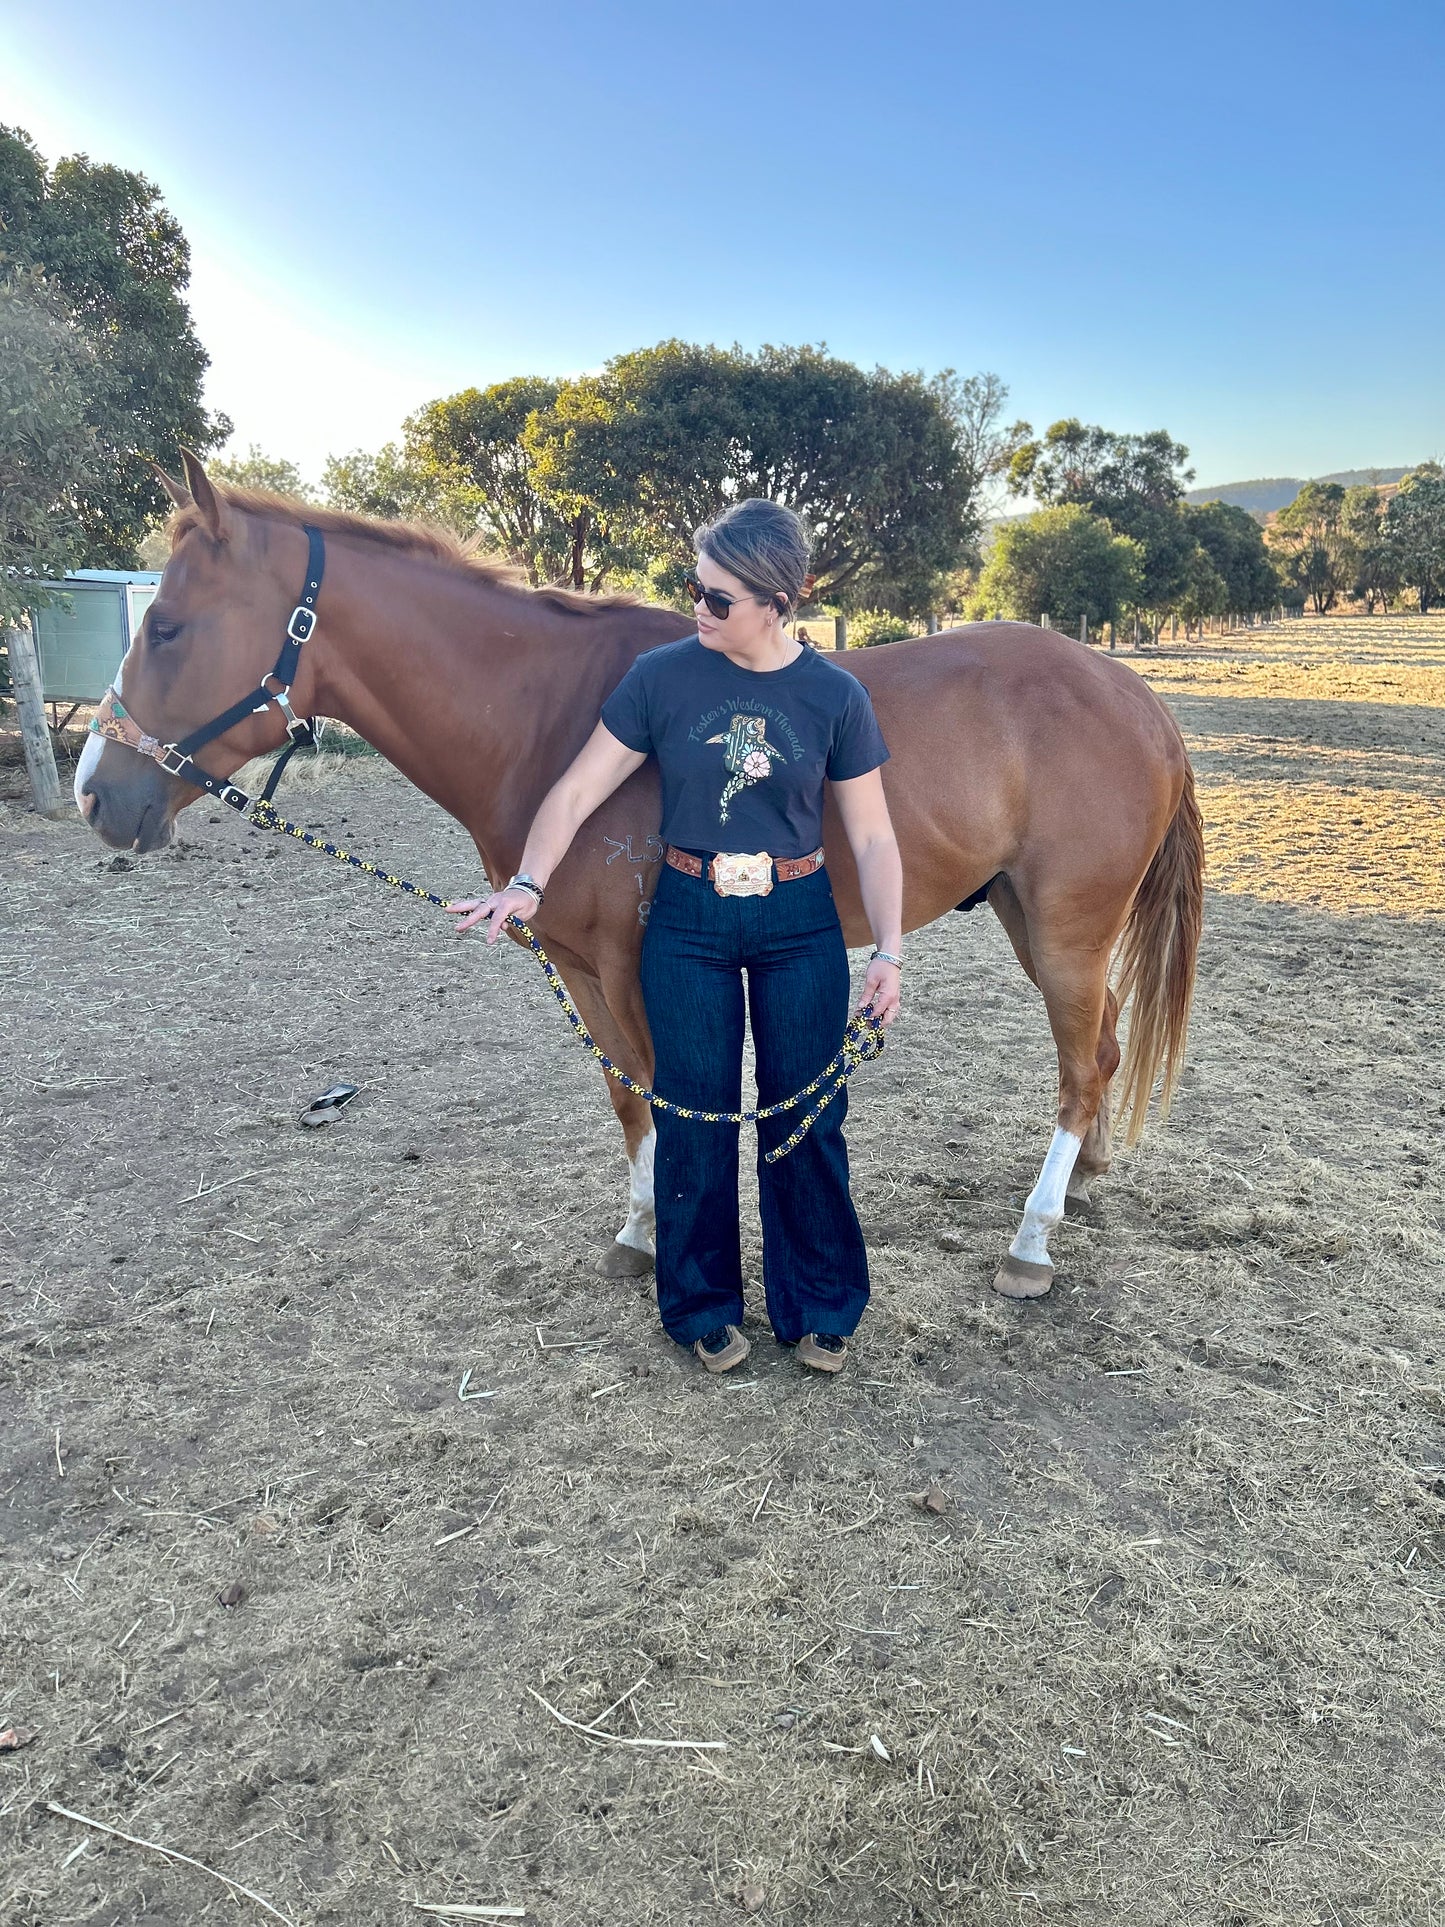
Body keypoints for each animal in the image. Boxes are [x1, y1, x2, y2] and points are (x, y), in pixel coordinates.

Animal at [81, 454, 1209, 1294]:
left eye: (167, 626)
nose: (97, 792)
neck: (550, 716)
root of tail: (1138, 700)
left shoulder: (632, 965)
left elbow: (667, 1097)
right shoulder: (579, 966)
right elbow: (628, 1101)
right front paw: (637, 1231)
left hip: (1065, 927)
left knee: (1079, 1069)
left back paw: (1030, 1240)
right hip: (1031, 921)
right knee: (1102, 1049)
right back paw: (1084, 1181)